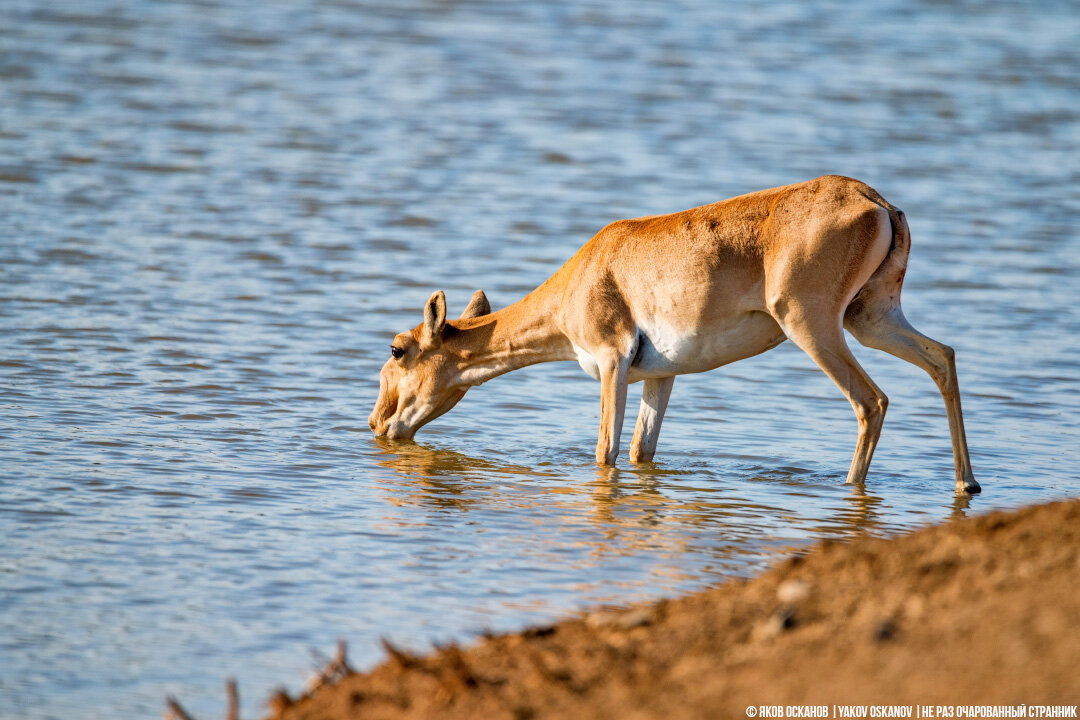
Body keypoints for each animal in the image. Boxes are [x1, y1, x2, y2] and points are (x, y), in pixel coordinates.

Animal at [369, 177, 980, 498]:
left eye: (397, 350)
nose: (377, 424)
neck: (585, 275)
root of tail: (877, 203)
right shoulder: (659, 378)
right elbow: (642, 453)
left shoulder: (611, 364)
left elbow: (605, 451)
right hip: (871, 318)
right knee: (943, 357)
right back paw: (966, 485)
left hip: (813, 326)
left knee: (871, 401)